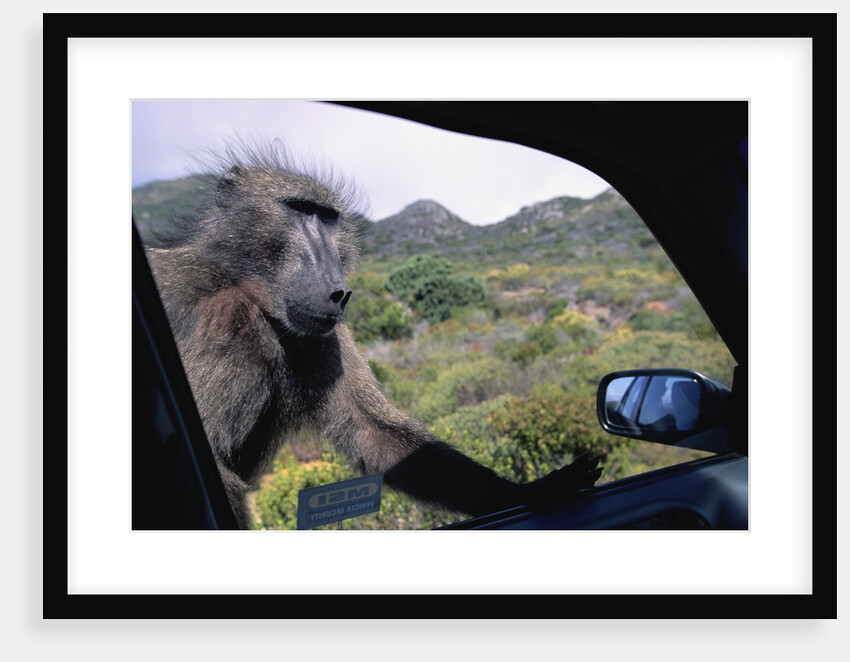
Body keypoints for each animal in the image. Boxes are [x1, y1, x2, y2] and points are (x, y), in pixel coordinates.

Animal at [144, 142, 603, 529]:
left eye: (328, 218)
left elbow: (373, 433)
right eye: (298, 209)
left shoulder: (322, 337)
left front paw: (538, 488)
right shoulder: (225, 320)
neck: (236, 282)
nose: (339, 290)